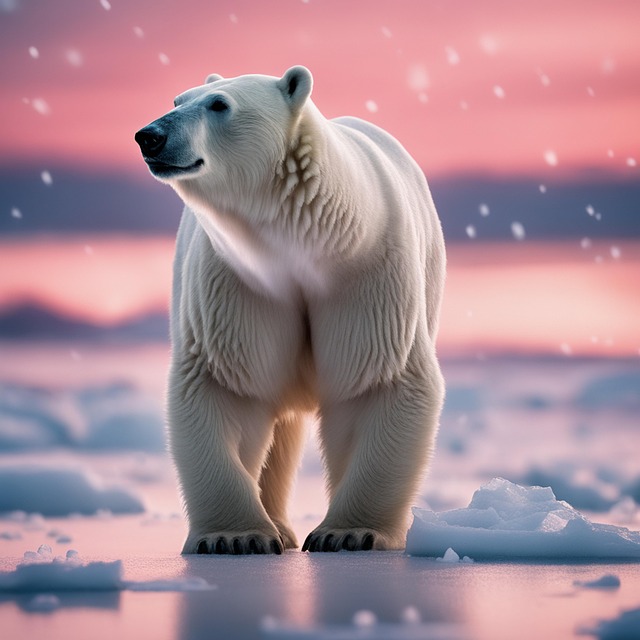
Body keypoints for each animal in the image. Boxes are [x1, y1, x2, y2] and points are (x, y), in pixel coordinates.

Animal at [135, 66, 446, 554]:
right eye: (177, 99)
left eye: (219, 104)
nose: (150, 136)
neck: (305, 237)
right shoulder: (238, 281)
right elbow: (227, 384)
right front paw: (234, 537)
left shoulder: (367, 273)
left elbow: (377, 380)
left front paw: (350, 532)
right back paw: (279, 526)